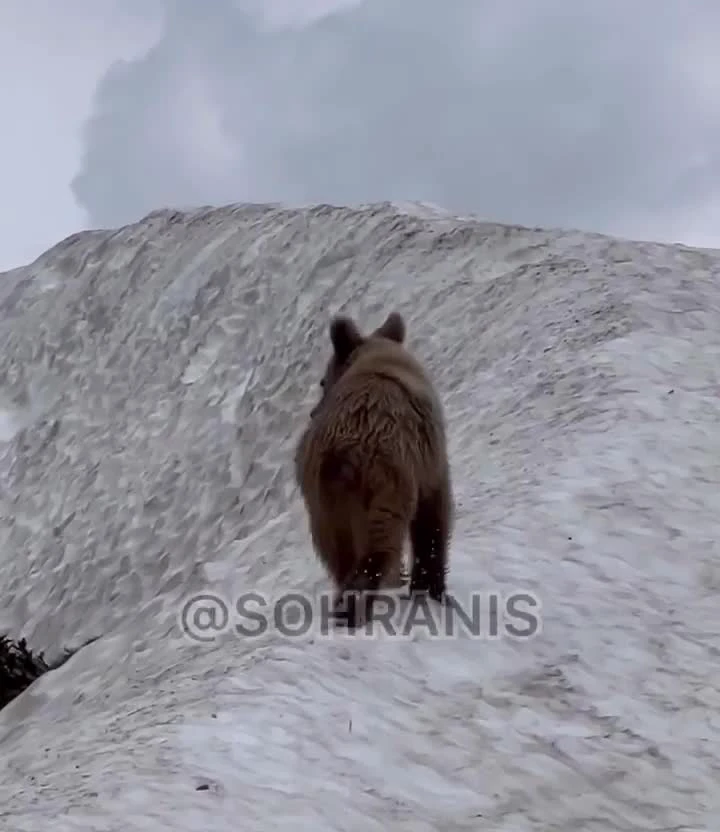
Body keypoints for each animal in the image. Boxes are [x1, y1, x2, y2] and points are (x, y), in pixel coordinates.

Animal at [292, 308, 450, 628]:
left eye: (321, 381)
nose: (313, 411)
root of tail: (343, 453)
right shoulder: (428, 461)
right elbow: (433, 519)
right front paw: (432, 589)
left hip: (325, 502)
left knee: (338, 554)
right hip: (386, 483)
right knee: (378, 547)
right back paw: (355, 609)